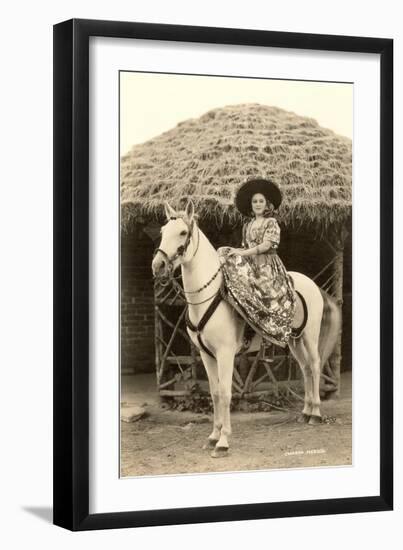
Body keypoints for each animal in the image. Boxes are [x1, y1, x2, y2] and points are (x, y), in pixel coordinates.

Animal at [152, 201, 340, 460]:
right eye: (162, 231)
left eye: (182, 232)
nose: (157, 265)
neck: (207, 297)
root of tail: (312, 284)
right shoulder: (206, 355)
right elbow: (215, 393)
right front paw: (212, 437)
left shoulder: (225, 354)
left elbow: (226, 393)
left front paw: (223, 442)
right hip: (294, 340)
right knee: (305, 370)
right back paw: (305, 412)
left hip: (310, 337)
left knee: (314, 365)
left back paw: (316, 414)